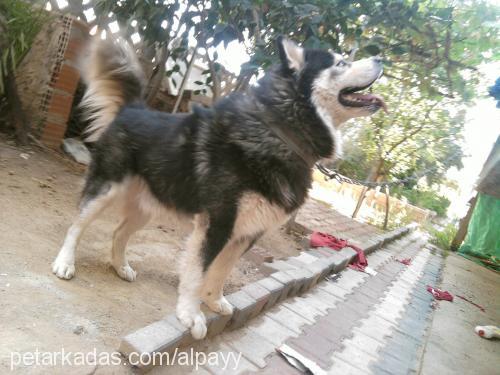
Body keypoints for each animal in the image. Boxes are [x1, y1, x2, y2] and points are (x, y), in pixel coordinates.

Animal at [51, 36, 386, 340]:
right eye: (340, 63)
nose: (381, 58)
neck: (282, 133)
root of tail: (133, 108)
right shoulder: (218, 223)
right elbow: (198, 273)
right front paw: (190, 315)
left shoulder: (246, 232)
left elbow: (222, 271)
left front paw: (215, 301)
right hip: (105, 189)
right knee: (76, 225)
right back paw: (65, 263)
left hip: (148, 206)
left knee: (119, 233)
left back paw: (121, 266)